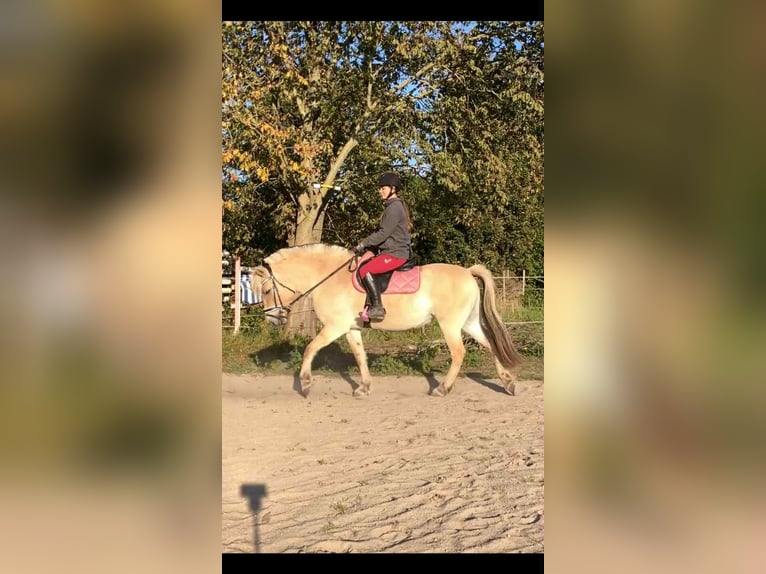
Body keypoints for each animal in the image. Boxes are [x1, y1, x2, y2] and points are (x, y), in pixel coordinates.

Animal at [251, 244, 522, 397]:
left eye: (266, 290)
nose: (273, 319)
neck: (331, 278)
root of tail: (467, 271)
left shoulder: (334, 327)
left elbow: (310, 349)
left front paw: (306, 384)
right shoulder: (350, 328)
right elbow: (360, 356)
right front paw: (363, 387)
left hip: (450, 325)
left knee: (458, 353)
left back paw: (442, 388)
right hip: (468, 323)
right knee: (490, 344)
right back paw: (508, 383)